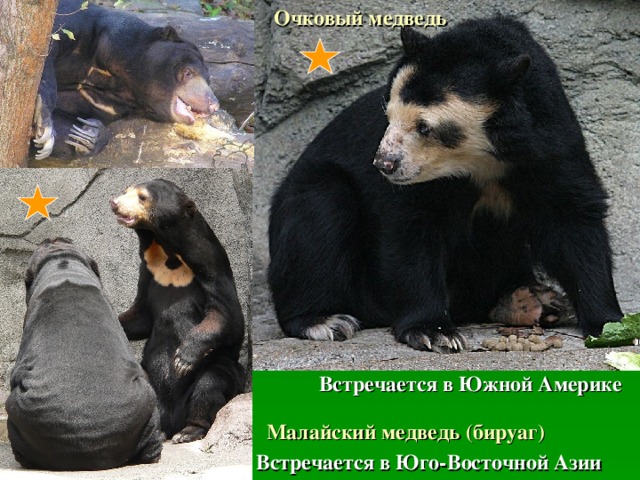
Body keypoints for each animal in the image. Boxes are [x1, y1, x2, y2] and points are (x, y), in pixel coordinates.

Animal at [32, 0, 219, 159]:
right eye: (188, 72)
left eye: (208, 80)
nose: (213, 104)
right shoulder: (90, 29)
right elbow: (49, 44)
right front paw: (44, 120)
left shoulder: (102, 103)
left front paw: (89, 135)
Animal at [110, 179, 245, 443]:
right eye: (125, 191)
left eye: (142, 197)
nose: (114, 203)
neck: (168, 255)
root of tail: (172, 419)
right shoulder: (149, 274)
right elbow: (141, 316)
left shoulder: (212, 267)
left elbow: (226, 315)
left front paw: (183, 358)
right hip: (149, 380)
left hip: (223, 371)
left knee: (210, 383)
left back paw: (189, 431)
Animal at [268, 17, 623, 353]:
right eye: (388, 115)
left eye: (425, 126)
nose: (384, 164)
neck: (481, 159)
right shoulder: (421, 181)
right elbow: (410, 231)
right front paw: (434, 331)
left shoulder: (548, 143)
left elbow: (573, 219)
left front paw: (609, 325)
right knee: (321, 209)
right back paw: (323, 320)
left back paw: (533, 301)